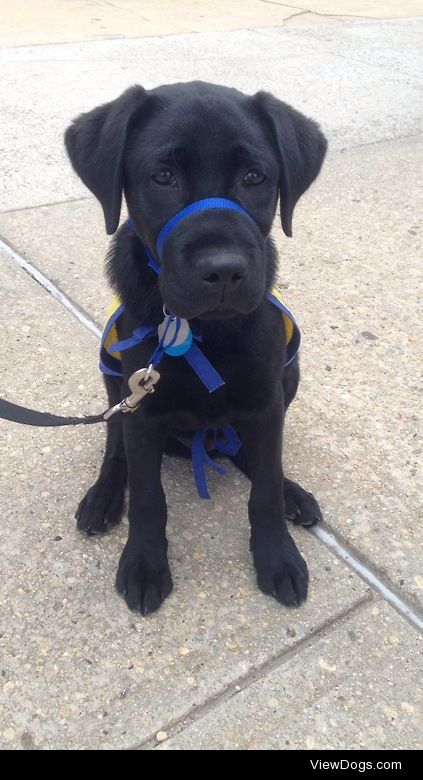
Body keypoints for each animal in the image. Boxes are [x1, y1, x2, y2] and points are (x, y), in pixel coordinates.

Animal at [64, 79, 326, 616]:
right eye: (163, 176)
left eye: (254, 176)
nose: (223, 271)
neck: (204, 330)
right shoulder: (143, 408)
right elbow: (148, 497)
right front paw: (144, 564)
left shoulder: (266, 400)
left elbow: (265, 485)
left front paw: (278, 556)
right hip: (115, 384)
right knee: (115, 445)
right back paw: (103, 497)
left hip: (289, 375)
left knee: (255, 458)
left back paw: (293, 494)